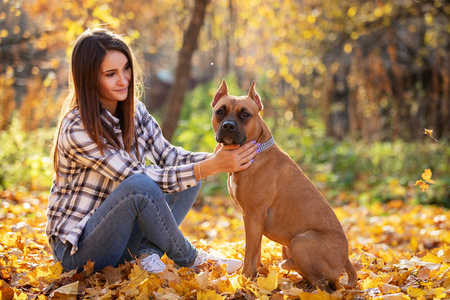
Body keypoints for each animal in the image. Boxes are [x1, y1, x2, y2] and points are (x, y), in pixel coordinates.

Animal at [211, 80, 358, 290]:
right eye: (220, 111)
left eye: (245, 114)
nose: (228, 125)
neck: (257, 151)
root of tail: (346, 259)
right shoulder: (253, 218)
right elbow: (255, 251)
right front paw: (256, 275)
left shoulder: (254, 215)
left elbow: (249, 252)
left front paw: (245, 279)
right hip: (288, 246)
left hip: (300, 242)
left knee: (322, 285)